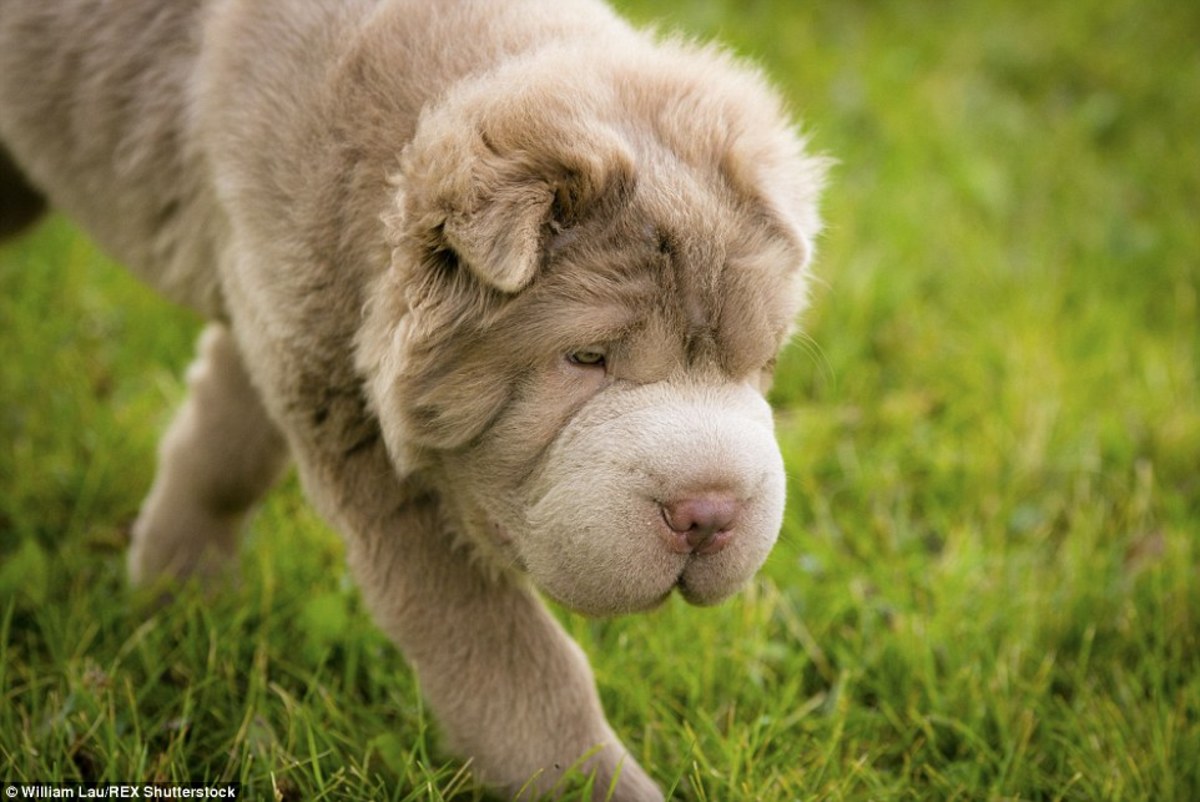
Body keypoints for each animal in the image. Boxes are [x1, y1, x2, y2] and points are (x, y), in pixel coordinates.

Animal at [0, 0, 825, 797]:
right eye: (585, 358)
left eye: (761, 363)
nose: (709, 513)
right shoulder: (369, 445)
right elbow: (511, 664)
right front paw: (601, 784)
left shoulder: (285, 329)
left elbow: (224, 451)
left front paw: (175, 595)